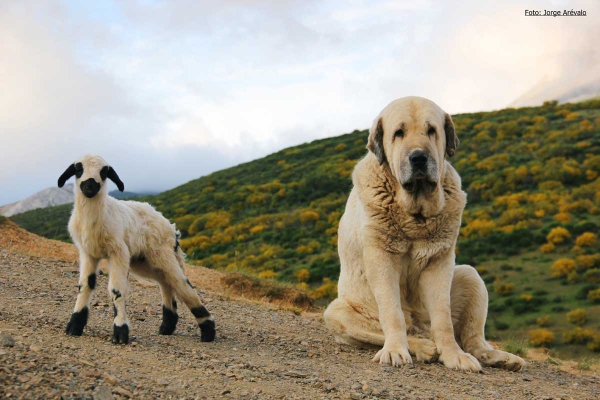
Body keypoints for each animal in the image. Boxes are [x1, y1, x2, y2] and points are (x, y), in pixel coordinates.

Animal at [56, 154, 216, 344]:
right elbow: (85, 286)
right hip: (144, 261)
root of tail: (170, 227)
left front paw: (120, 332)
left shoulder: (119, 252)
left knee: (181, 283)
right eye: (78, 169)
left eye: (104, 172)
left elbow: (117, 290)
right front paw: (74, 326)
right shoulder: (88, 253)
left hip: (162, 253)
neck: (96, 219)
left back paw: (208, 332)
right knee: (165, 282)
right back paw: (167, 327)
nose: (90, 186)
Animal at [324, 97, 524, 372]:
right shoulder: (382, 258)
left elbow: (443, 317)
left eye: (431, 130)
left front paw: (453, 355)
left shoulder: (439, 260)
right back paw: (422, 347)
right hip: (337, 310)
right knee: (391, 330)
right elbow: (392, 314)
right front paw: (395, 351)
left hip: (469, 276)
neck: (414, 212)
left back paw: (498, 357)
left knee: (473, 340)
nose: (418, 158)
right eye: (399, 132)